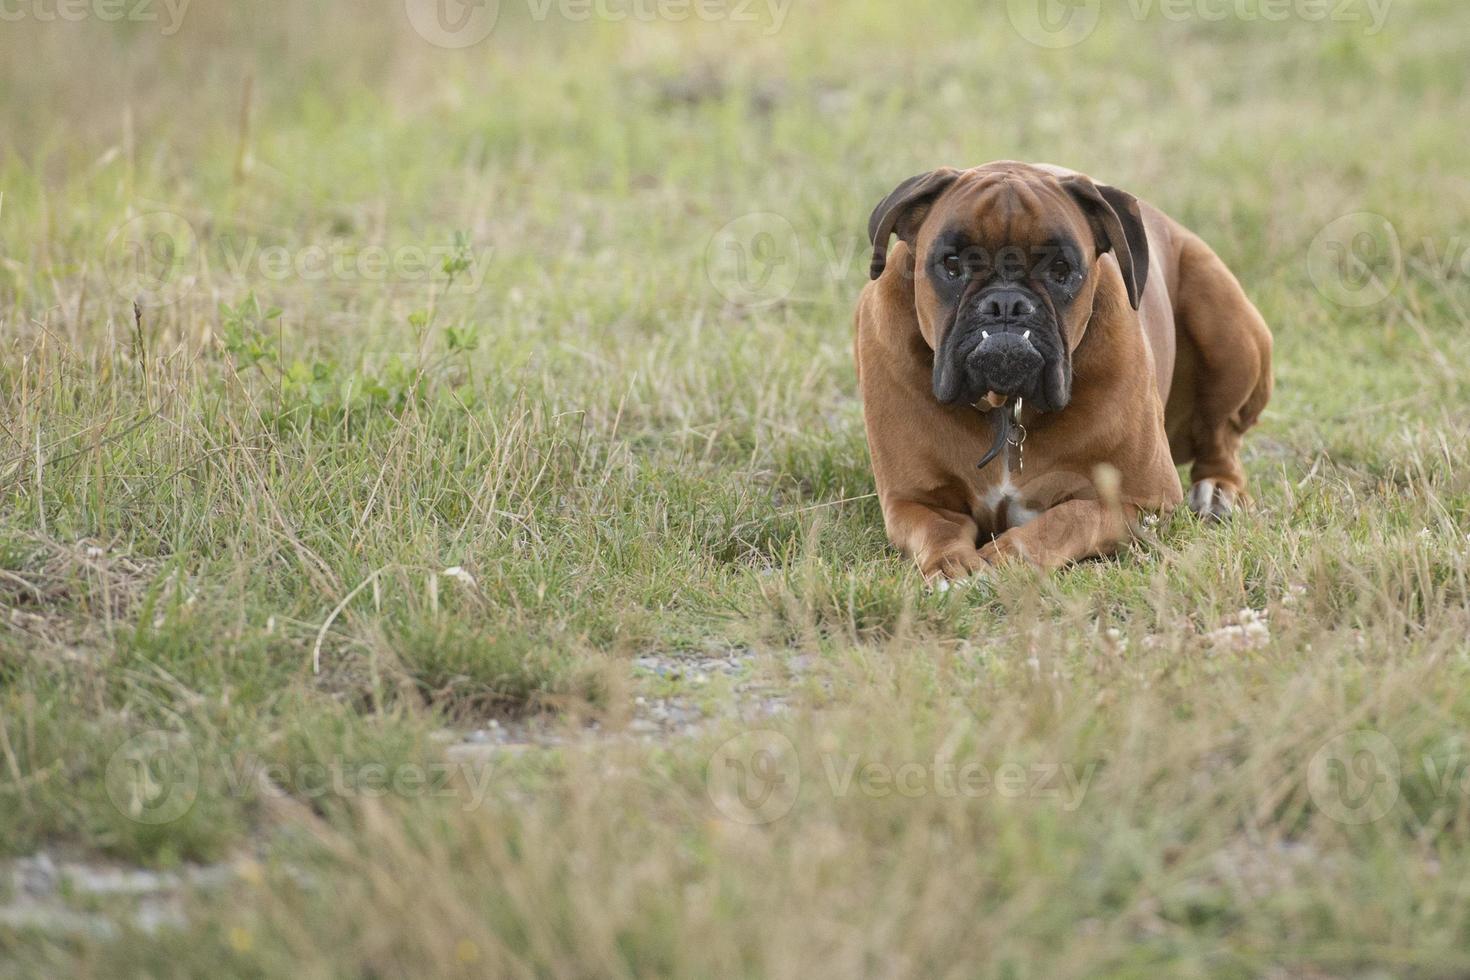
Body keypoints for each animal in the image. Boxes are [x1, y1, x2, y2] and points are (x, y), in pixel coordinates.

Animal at [858, 159, 1270, 575]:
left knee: (1221, 439)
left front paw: (1006, 558)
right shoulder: (913, 501)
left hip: (1223, 320)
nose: (1006, 303)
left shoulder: (1144, 499)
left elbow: (1071, 517)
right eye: (952, 264)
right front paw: (953, 567)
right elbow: (939, 530)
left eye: (1060, 268)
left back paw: (1219, 492)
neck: (1007, 408)